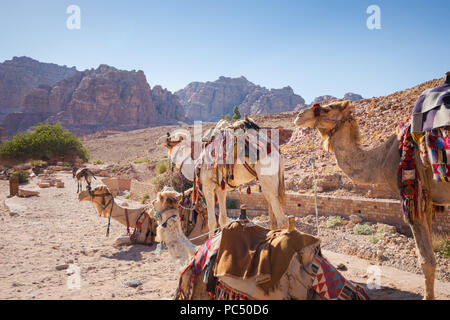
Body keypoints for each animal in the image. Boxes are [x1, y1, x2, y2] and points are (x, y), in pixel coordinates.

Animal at [296, 100, 450, 300]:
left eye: (327, 108)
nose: (299, 116)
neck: (383, 159)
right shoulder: (427, 200)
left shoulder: (412, 197)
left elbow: (426, 260)